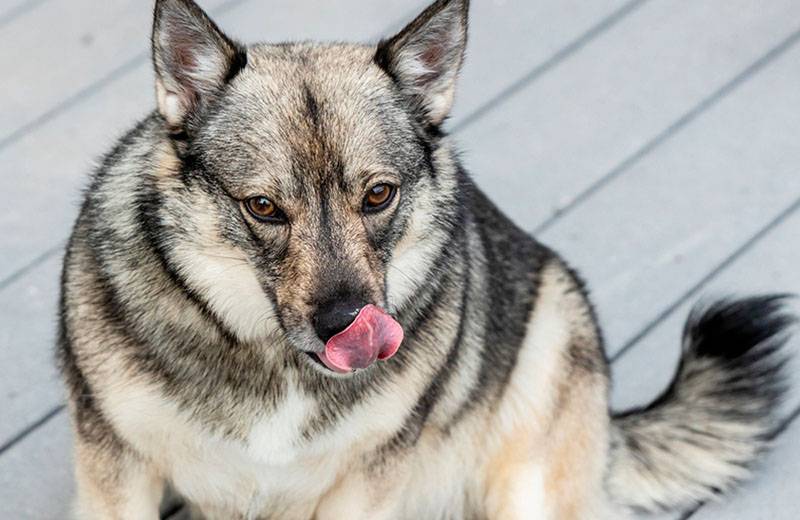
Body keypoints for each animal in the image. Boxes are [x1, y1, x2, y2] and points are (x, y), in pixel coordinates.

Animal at [57, 1, 792, 520]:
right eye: (262, 207)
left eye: (378, 195)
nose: (348, 325)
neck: (276, 365)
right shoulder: (117, 474)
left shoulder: (364, 491)